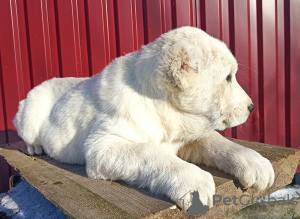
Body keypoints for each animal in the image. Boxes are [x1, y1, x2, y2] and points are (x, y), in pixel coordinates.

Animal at [15, 27, 276, 209]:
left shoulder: (188, 136)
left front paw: (255, 163)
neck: (163, 110)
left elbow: (218, 142)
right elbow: (149, 152)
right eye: (228, 78)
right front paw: (193, 181)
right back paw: (35, 148)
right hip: (28, 113)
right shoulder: (103, 146)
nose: (252, 107)